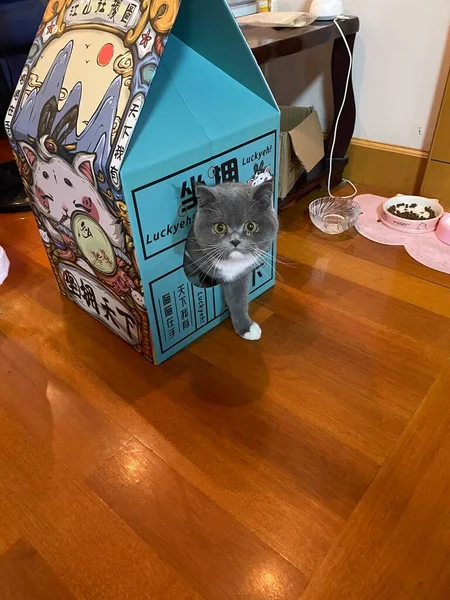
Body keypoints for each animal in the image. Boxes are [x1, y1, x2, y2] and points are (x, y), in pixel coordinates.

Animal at [184, 180, 278, 340]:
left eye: (250, 226)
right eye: (220, 227)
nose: (235, 240)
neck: (231, 265)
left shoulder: (239, 275)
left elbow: (239, 299)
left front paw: (246, 328)